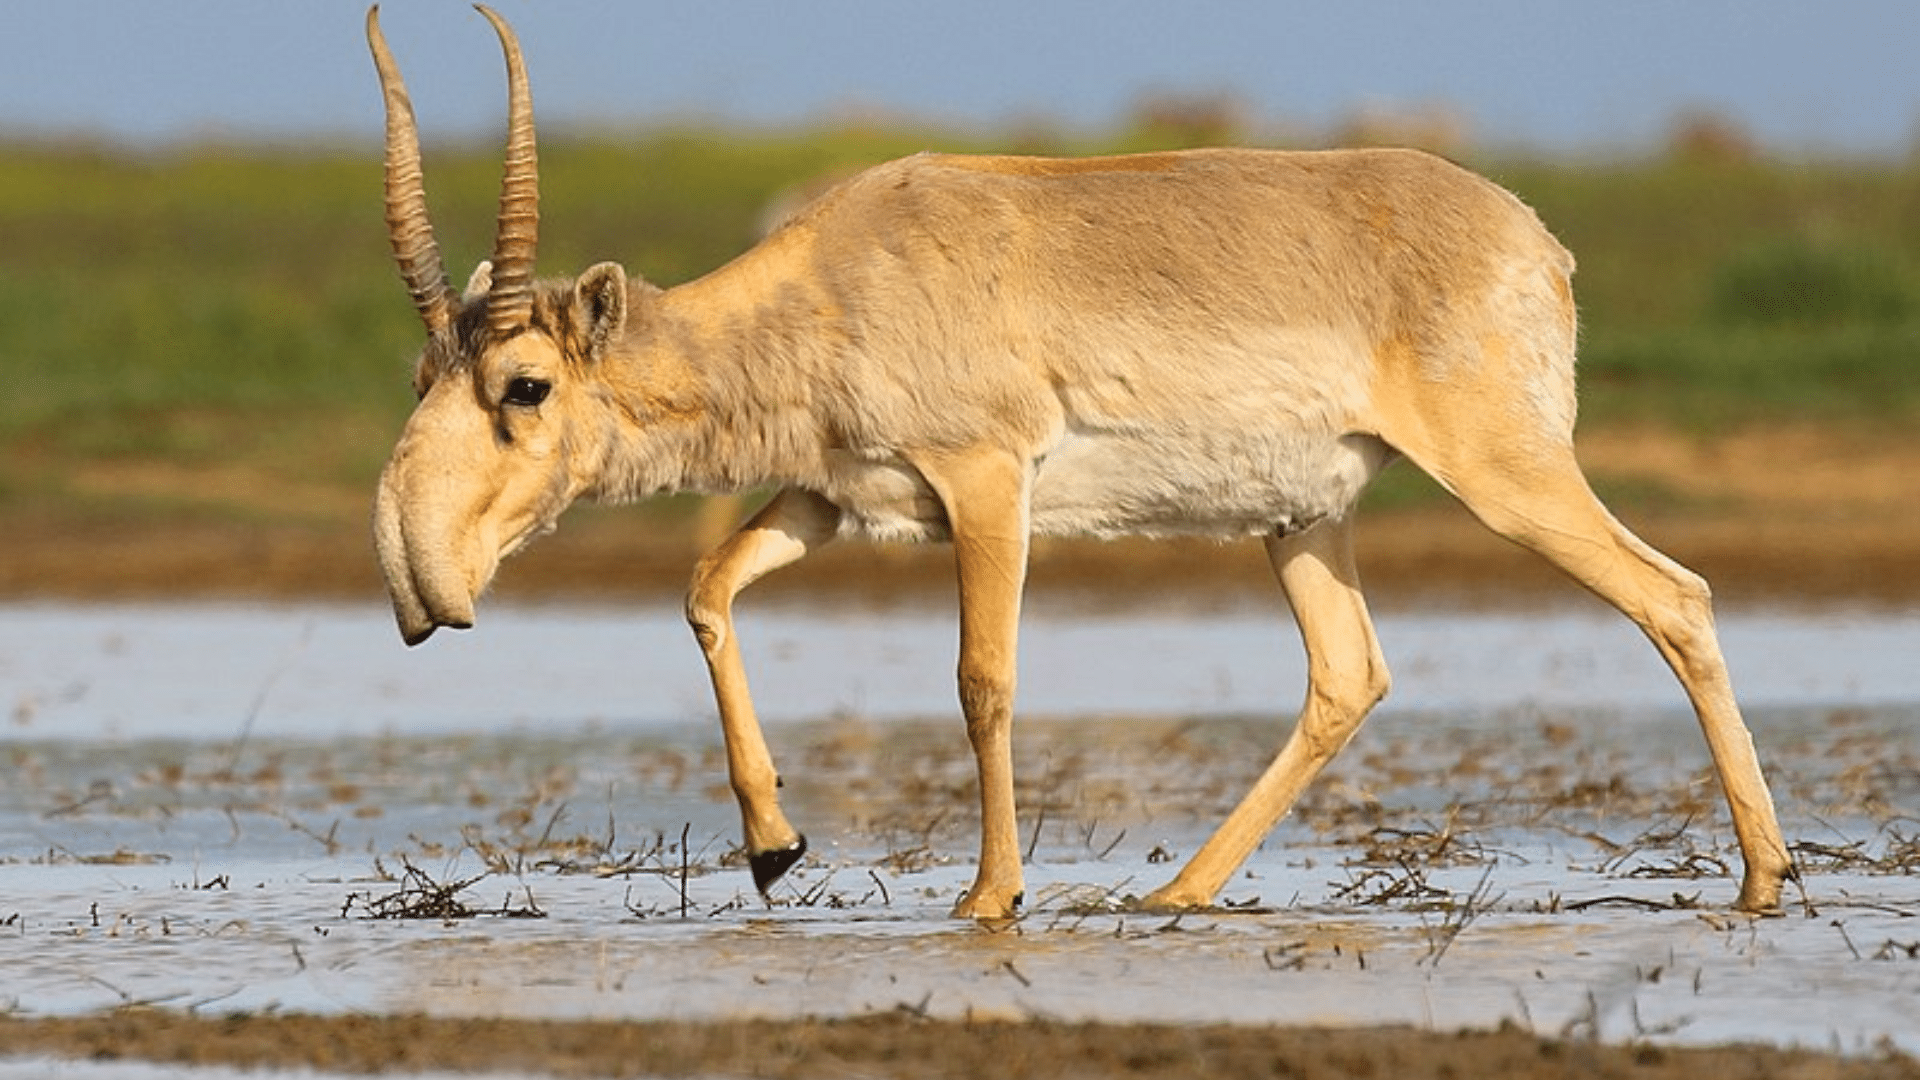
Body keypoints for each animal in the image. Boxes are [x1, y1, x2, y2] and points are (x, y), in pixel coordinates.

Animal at [366, 8, 1789, 914]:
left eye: (525, 385)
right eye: (422, 375)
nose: (417, 581)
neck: (836, 274)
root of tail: (1535, 240)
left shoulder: (988, 484)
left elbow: (982, 679)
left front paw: (989, 897)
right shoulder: (835, 498)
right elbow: (706, 588)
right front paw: (775, 849)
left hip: (1507, 476)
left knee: (1674, 597)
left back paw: (1768, 875)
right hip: (1302, 520)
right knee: (1349, 675)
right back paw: (1177, 891)